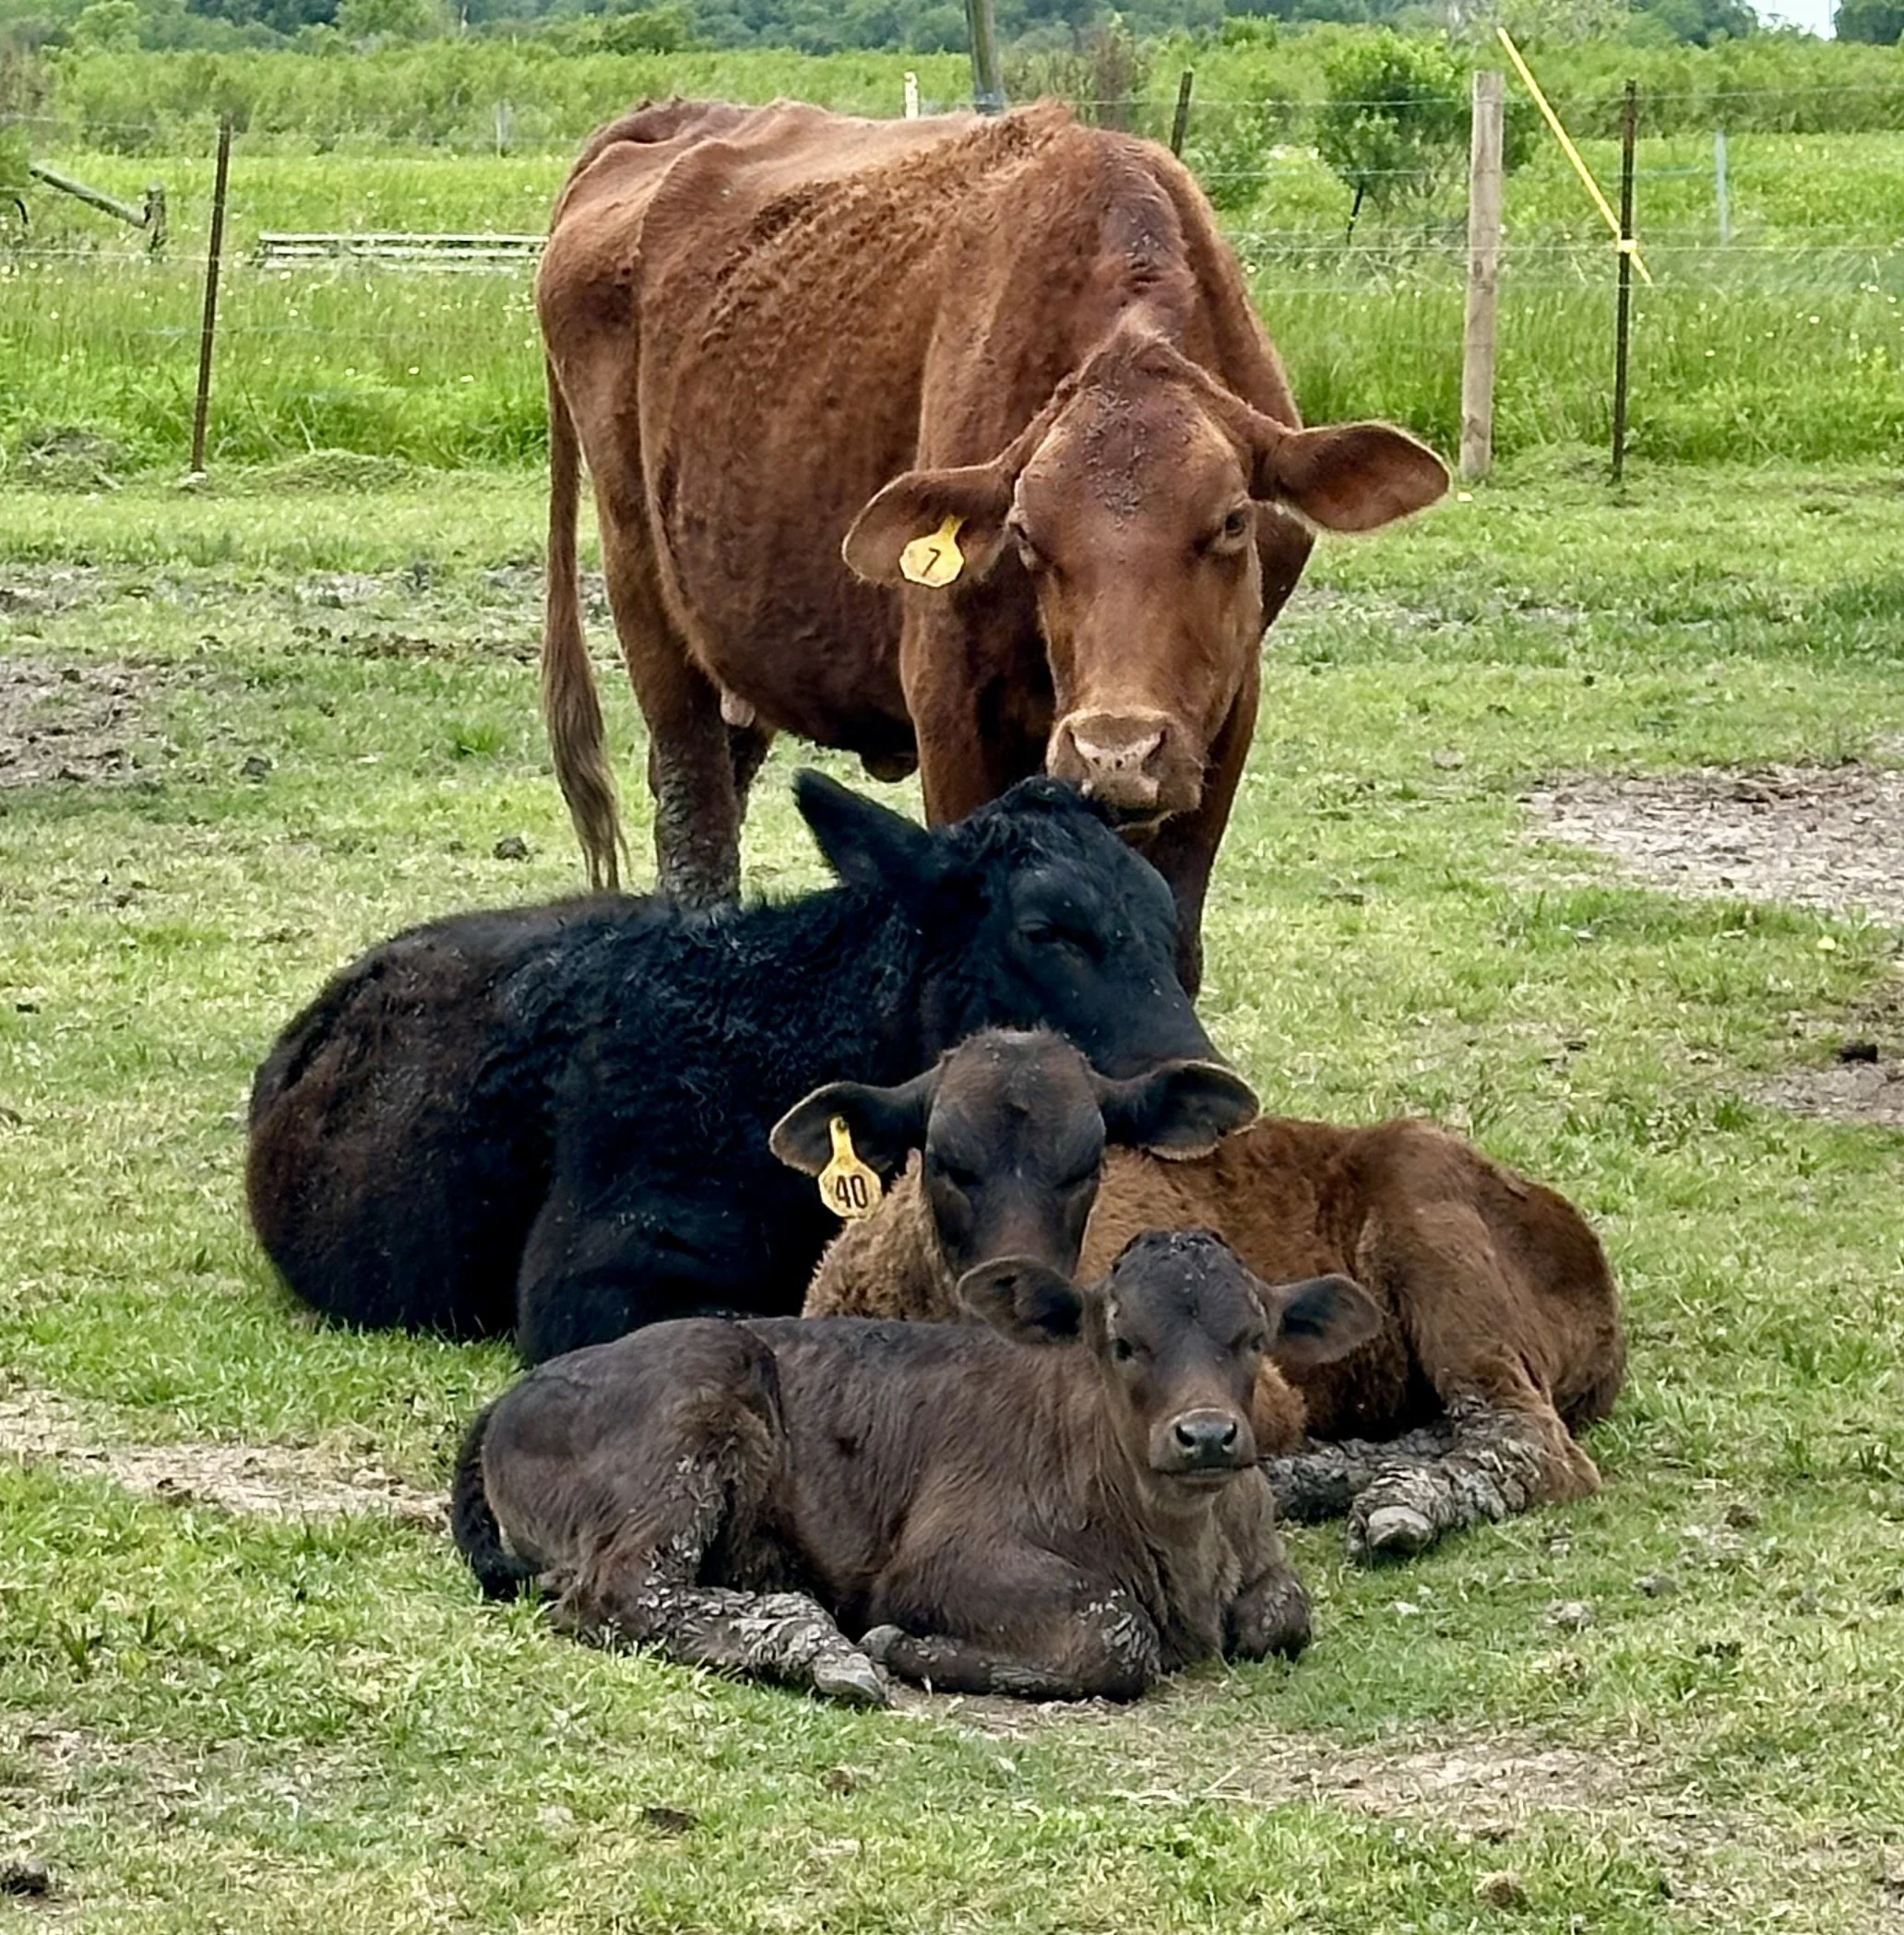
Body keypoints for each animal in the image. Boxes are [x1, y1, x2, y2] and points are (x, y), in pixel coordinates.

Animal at [451, 1229, 1381, 1704]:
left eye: (1253, 1338)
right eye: (1122, 1342)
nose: (1208, 1436)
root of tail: (514, 1395)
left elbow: (1284, 1614)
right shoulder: (939, 1560)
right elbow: (1115, 1632)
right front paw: (904, 1648)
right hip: (693, 1411)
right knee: (620, 1591)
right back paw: (819, 1648)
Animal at [536, 97, 1449, 992]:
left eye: (1232, 520)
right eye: (1024, 535)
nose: (1117, 752)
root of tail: (674, 116)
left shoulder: (1226, 711)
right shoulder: (950, 705)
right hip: (644, 595)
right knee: (694, 822)